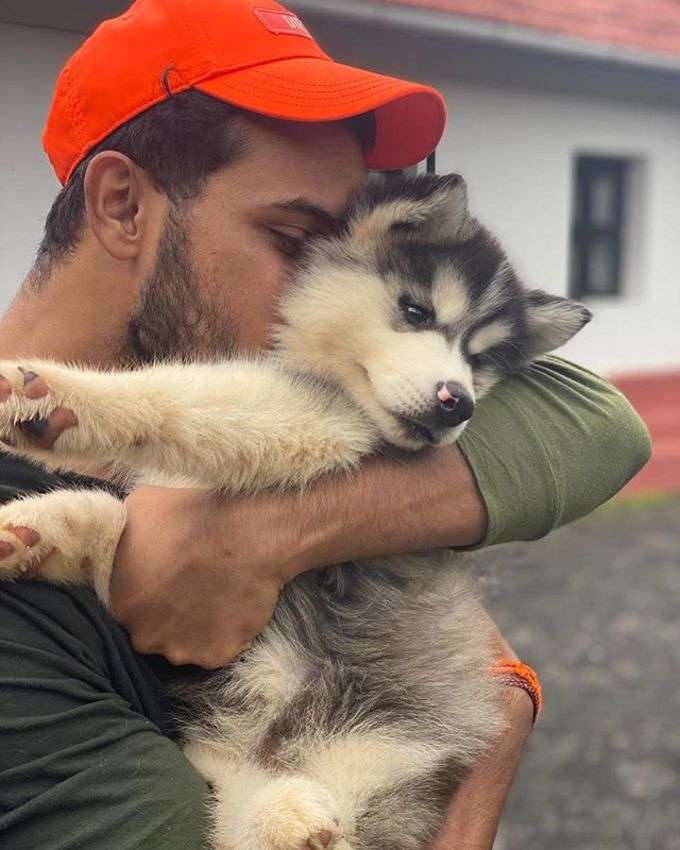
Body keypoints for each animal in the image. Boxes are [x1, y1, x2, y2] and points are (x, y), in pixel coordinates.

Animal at [0, 174, 588, 848]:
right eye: (417, 311)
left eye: (482, 361)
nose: (457, 404)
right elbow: (122, 520)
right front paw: (44, 516)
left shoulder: (322, 424)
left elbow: (185, 395)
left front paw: (58, 398)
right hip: (237, 760)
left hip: (387, 752)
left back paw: (292, 815)